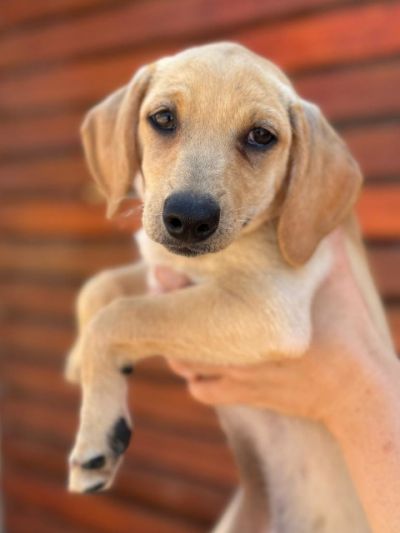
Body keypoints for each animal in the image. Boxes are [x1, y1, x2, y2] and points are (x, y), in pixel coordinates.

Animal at [66, 42, 393, 532]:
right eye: (163, 118)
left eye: (261, 136)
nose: (188, 218)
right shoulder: (162, 270)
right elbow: (100, 288)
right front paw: (77, 359)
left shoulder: (269, 308)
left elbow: (121, 316)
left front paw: (97, 435)